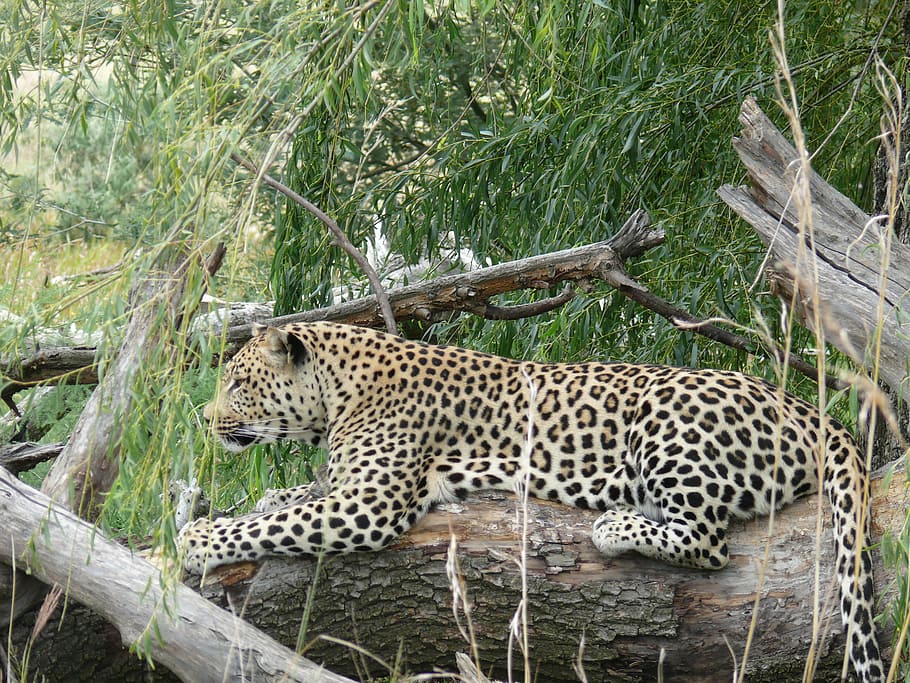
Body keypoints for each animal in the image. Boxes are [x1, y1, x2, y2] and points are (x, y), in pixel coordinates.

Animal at [180, 321, 882, 682]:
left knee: (709, 541)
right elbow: (288, 499)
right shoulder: (345, 484)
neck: (336, 396)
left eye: (237, 383)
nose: (204, 421)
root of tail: (817, 414)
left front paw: (197, 542)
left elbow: (281, 523)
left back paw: (617, 525)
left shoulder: (371, 502)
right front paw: (258, 498)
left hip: (665, 416)